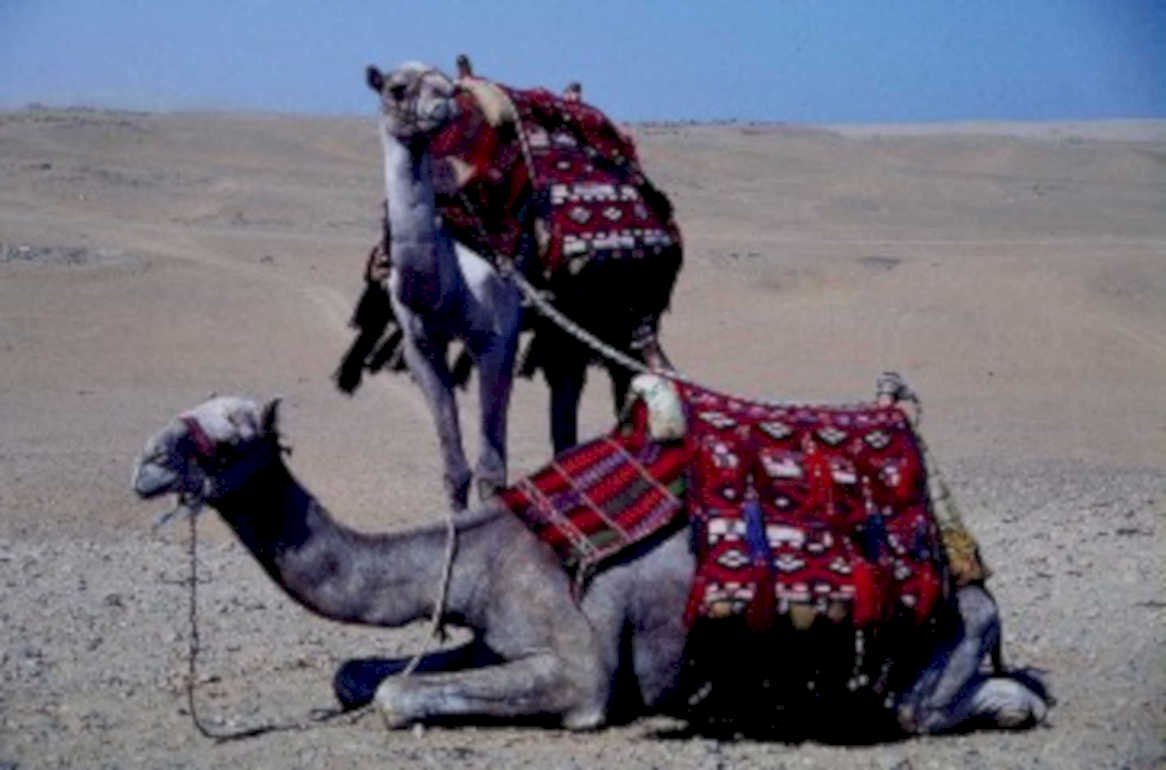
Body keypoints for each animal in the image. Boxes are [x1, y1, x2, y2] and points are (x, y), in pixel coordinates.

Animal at [132, 395, 1050, 736]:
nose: (145, 463)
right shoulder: (497, 631)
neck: (478, 551)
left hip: (944, 639)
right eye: (184, 414)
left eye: (227, 436)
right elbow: (359, 676)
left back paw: (1013, 704)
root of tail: (967, 567)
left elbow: (397, 696)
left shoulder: (577, 661)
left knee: (930, 707)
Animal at [362, 61, 679, 510]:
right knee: (574, 385)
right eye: (397, 88)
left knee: (645, 371)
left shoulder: (498, 336)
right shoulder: (420, 344)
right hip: (580, 313)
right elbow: (454, 470)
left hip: (632, 297)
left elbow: (491, 472)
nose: (441, 107)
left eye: (447, 87)